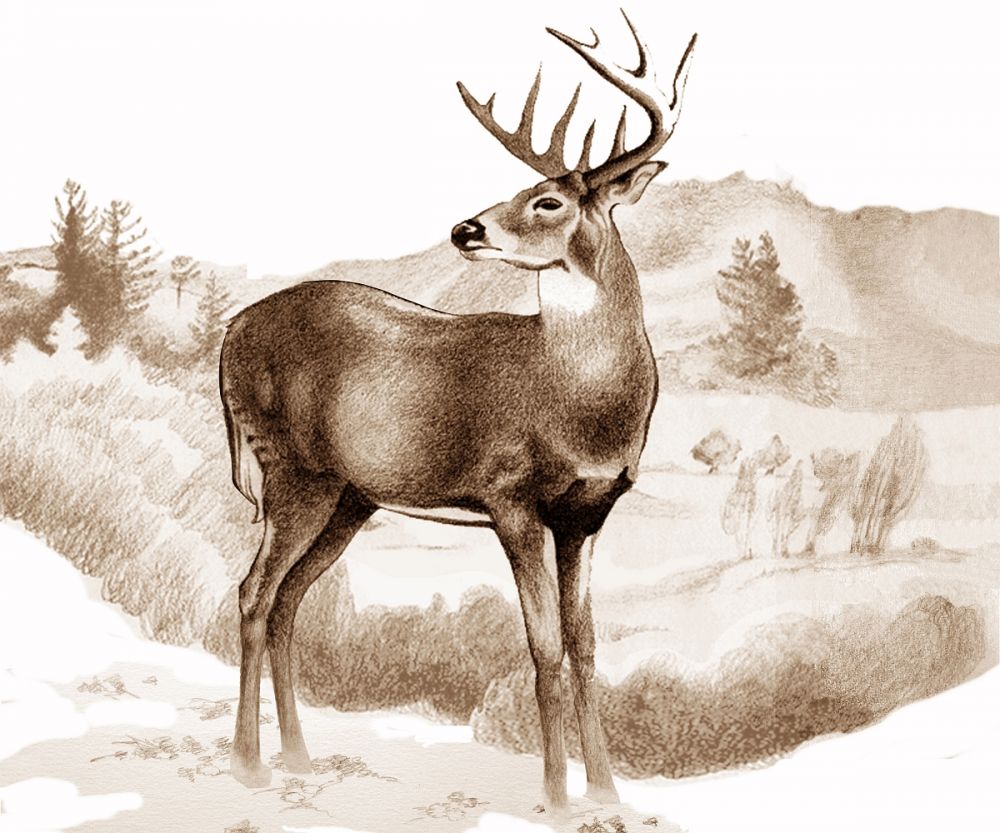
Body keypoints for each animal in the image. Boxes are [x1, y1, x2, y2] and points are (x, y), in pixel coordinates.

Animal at [220, 10, 695, 813]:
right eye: (523, 185)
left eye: (548, 200)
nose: (465, 229)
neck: (577, 402)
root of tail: (228, 333)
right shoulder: (510, 497)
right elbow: (543, 644)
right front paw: (558, 798)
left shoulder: (588, 514)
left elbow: (586, 643)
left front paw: (606, 792)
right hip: (294, 469)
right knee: (253, 595)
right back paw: (250, 766)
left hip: (350, 496)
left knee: (287, 603)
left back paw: (299, 758)